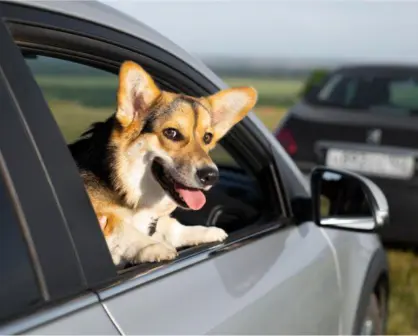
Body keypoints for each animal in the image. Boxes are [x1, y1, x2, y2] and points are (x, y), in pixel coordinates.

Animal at [69, 61, 258, 270]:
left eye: (207, 137)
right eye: (172, 133)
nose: (211, 176)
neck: (124, 184)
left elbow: (171, 227)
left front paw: (206, 232)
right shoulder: (100, 216)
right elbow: (122, 227)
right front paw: (151, 246)